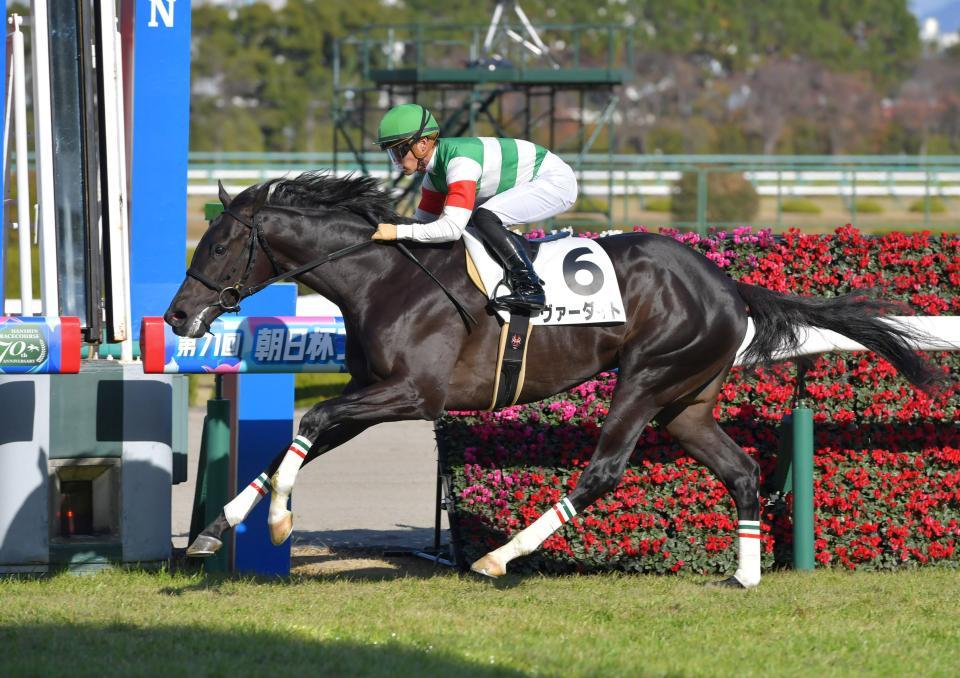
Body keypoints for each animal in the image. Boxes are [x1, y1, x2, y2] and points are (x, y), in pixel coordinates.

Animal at [165, 171, 936, 588]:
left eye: (221, 244)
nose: (177, 315)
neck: (381, 278)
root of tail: (725, 284)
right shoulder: (373, 393)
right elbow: (294, 443)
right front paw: (215, 531)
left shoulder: (414, 394)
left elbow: (311, 421)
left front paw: (276, 519)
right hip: (685, 401)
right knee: (741, 471)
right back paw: (745, 574)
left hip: (646, 377)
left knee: (603, 470)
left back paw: (500, 556)